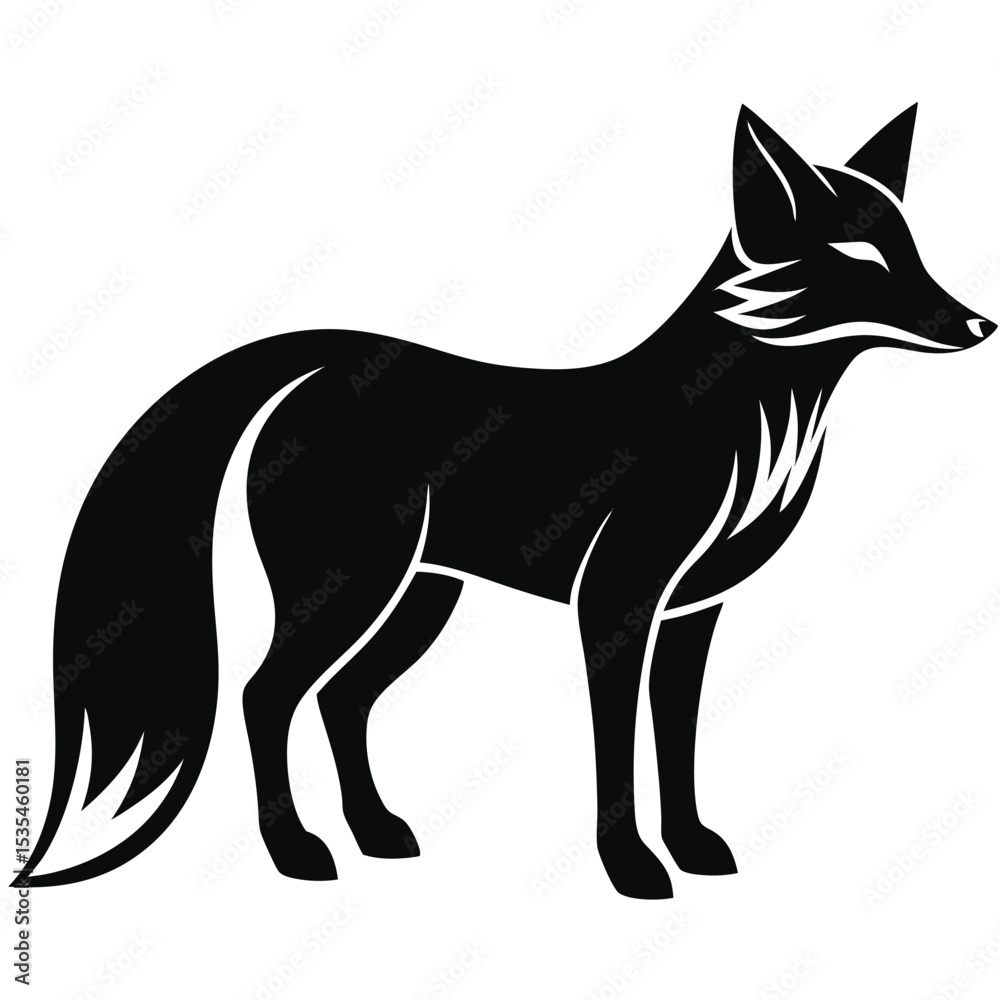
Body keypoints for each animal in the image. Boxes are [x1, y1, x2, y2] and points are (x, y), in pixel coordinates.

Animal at [15, 104, 995, 900]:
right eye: (862, 257)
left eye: (914, 247)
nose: (981, 324)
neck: (748, 425)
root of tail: (319, 363)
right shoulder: (617, 603)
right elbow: (617, 748)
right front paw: (632, 867)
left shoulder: (693, 613)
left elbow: (676, 739)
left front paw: (692, 847)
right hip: (352, 589)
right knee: (267, 697)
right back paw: (297, 851)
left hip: (419, 597)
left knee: (342, 701)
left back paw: (376, 833)